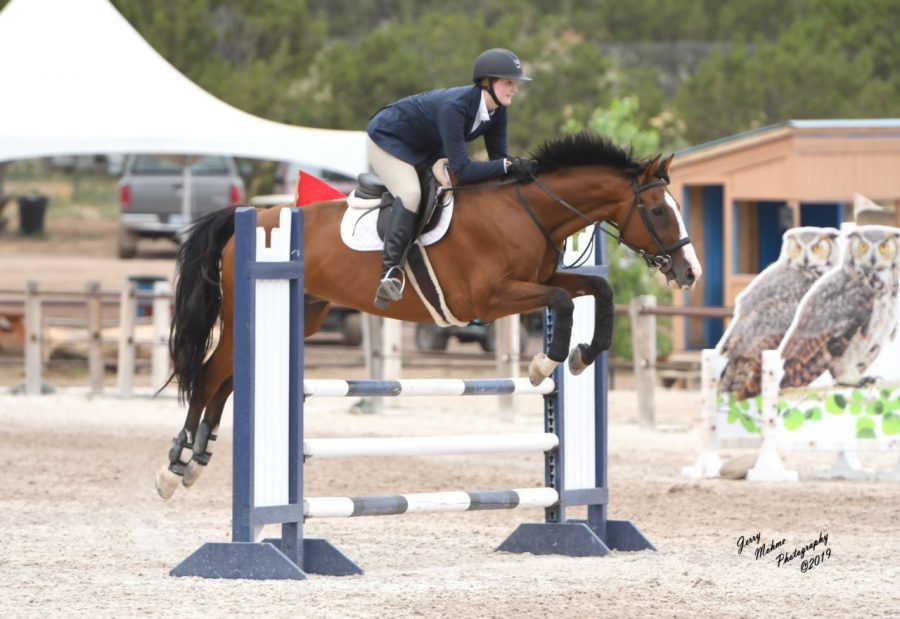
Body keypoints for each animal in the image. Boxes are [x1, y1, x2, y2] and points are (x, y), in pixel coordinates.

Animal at [155, 131, 704, 498]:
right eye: (659, 211)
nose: (690, 272)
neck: (527, 212)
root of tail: (252, 216)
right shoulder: (490, 298)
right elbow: (564, 303)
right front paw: (542, 364)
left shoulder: (544, 279)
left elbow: (598, 290)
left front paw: (584, 354)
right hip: (245, 316)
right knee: (210, 375)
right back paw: (175, 467)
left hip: (305, 313)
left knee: (226, 380)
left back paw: (197, 460)